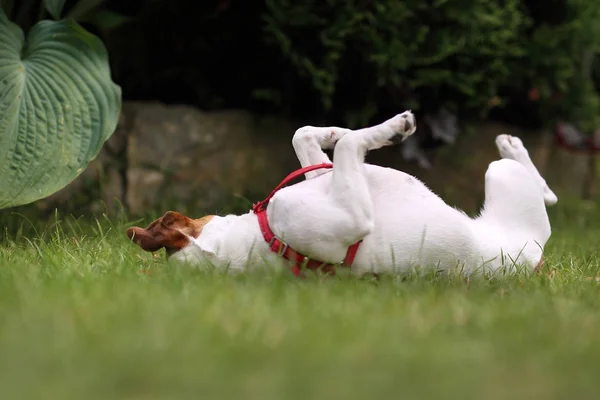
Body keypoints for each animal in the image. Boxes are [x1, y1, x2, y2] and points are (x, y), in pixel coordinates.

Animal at [126, 111, 556, 276]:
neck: (262, 234)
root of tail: (535, 261)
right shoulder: (347, 215)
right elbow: (351, 144)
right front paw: (391, 129)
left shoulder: (321, 180)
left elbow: (305, 137)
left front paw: (331, 131)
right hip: (504, 182)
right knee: (544, 193)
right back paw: (512, 145)